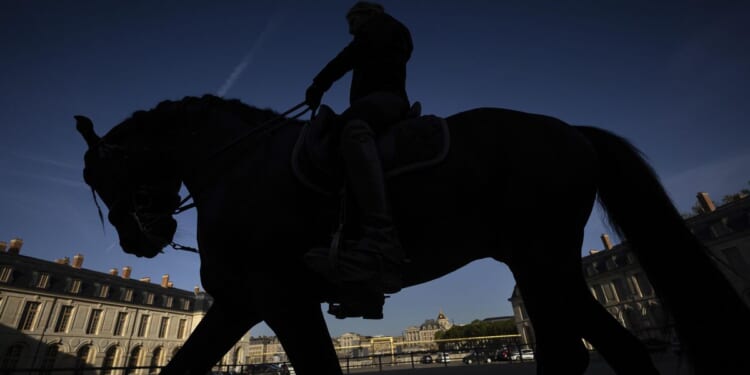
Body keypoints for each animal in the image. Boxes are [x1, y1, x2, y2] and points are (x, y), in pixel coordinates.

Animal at [76, 94, 750, 375]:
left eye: (98, 175)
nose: (140, 241)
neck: (237, 165)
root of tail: (573, 131)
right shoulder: (250, 301)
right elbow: (184, 366)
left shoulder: (278, 296)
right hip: (541, 262)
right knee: (605, 350)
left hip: (541, 259)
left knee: (578, 352)